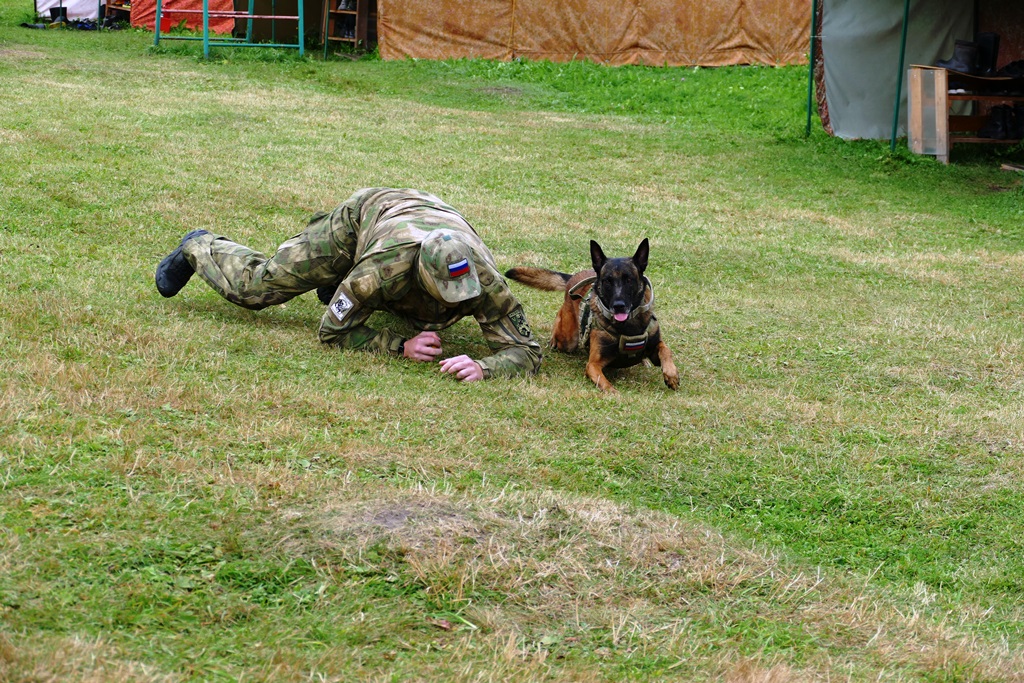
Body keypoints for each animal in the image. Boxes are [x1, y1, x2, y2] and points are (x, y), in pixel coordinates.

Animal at [505, 239, 679, 389]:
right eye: (608, 281)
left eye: (629, 280)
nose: (618, 306)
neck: (629, 327)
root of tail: (574, 277)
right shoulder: (593, 365)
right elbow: (605, 382)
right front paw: (614, 394)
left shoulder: (655, 347)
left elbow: (665, 349)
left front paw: (671, 375)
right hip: (569, 338)